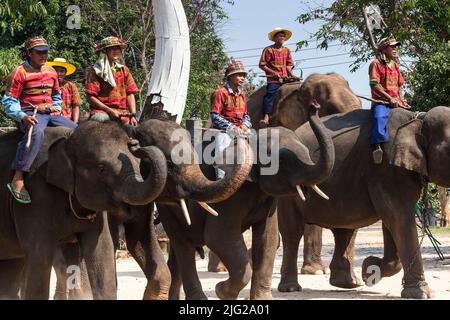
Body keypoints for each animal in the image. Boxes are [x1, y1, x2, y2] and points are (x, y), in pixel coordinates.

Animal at [0, 120, 169, 300]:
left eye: (138, 163)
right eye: (102, 168)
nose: (135, 144)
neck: (68, 138)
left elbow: (102, 249)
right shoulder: (35, 196)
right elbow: (39, 254)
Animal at [155, 104, 334, 300]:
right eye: (282, 160)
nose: (314, 107)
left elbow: (268, 238)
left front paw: (260, 298)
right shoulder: (229, 197)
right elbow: (218, 236)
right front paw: (221, 291)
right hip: (167, 205)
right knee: (183, 246)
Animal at [280, 106, 448, 298]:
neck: (418, 118)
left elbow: (393, 221)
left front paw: (369, 270)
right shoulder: (387, 170)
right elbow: (398, 218)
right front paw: (422, 293)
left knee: (346, 230)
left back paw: (348, 284)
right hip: (289, 187)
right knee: (292, 233)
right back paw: (291, 288)